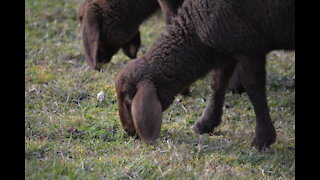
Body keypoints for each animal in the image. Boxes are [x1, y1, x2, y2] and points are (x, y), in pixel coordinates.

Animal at [115, 0, 296, 150]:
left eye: (129, 101)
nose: (129, 131)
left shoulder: (249, 48)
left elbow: (254, 88)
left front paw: (262, 139)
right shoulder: (227, 51)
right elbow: (218, 84)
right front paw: (205, 124)